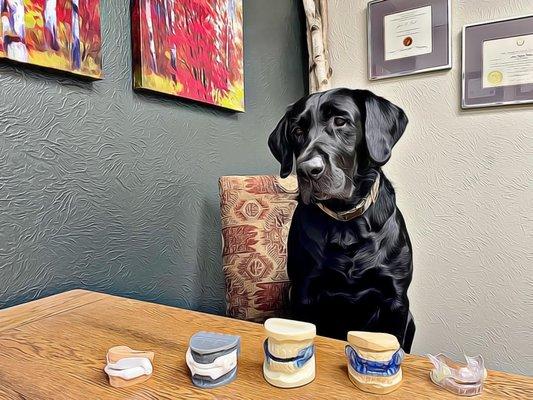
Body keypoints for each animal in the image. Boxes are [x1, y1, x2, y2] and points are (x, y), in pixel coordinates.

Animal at [268, 89, 414, 352]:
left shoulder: (395, 300)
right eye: (297, 131)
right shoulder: (304, 294)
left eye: (340, 121)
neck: (346, 223)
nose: (308, 170)